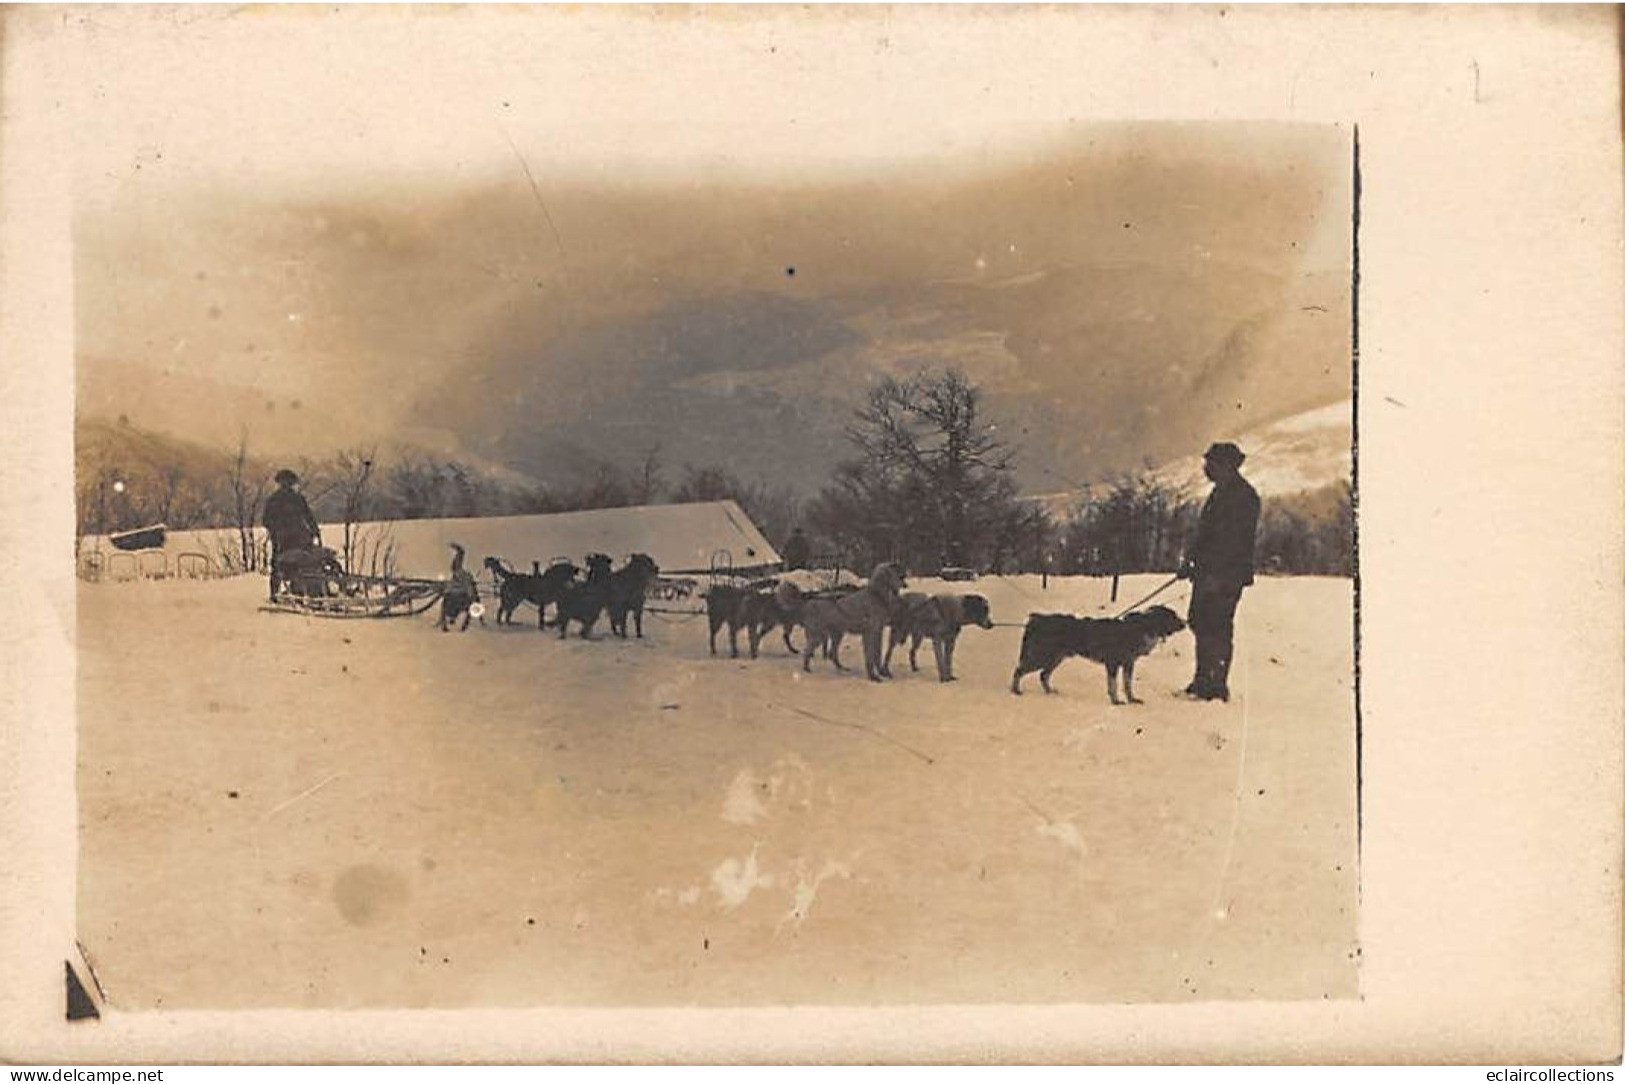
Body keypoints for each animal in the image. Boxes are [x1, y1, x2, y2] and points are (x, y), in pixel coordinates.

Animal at [1007, 601, 1189, 705]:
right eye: (1173, 616)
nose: (1185, 623)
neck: (1142, 627)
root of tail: (1036, 619)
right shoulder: (1113, 664)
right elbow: (1114, 685)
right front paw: (1116, 701)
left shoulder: (1128, 664)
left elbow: (1127, 684)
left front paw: (1131, 699)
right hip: (1042, 656)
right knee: (1019, 670)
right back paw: (1015, 690)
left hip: (1054, 658)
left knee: (1043, 675)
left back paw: (1049, 691)